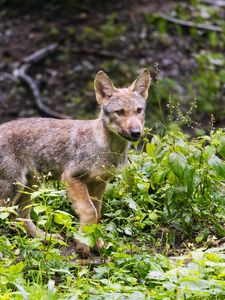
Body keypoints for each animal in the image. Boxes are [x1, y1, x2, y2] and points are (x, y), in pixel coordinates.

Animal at [0, 69, 151, 256]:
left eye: (139, 110)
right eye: (120, 112)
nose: (136, 132)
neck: (106, 149)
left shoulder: (98, 183)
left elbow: (97, 215)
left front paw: (96, 243)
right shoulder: (71, 178)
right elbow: (89, 212)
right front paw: (83, 245)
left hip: (31, 185)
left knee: (19, 215)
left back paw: (44, 237)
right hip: (14, 187)